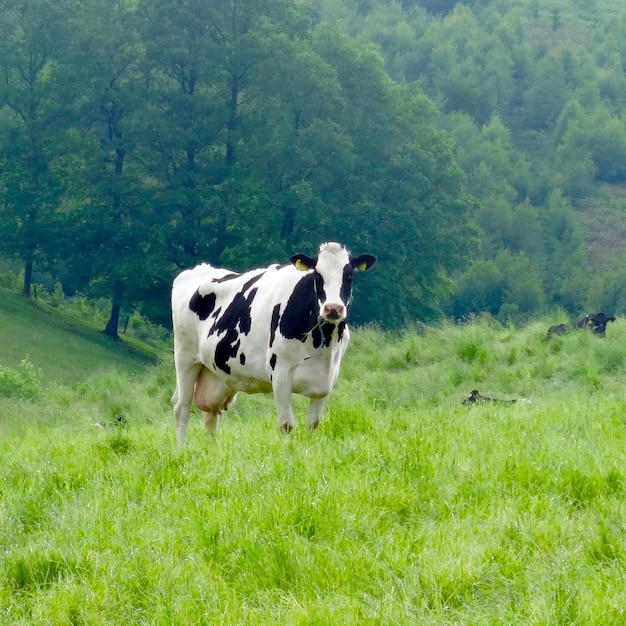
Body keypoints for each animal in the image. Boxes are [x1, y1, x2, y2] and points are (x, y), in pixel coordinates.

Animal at [169, 240, 376, 444]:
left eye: (349, 275)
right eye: (317, 275)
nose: (333, 308)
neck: (324, 344)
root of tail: (198, 269)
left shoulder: (326, 382)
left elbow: (312, 424)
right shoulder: (281, 375)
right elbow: (286, 424)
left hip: (215, 374)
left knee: (210, 413)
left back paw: (213, 448)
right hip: (186, 357)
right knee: (181, 406)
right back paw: (182, 448)